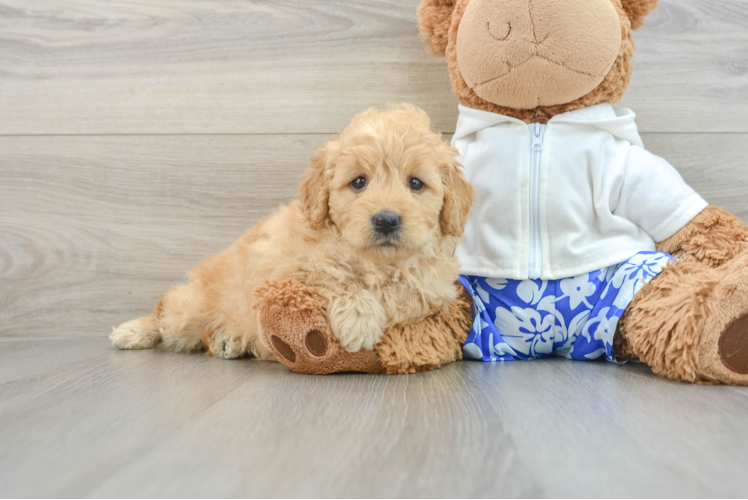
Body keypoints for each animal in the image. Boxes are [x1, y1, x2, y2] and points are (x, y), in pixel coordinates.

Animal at [109, 107, 474, 362]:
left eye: (416, 183)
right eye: (359, 182)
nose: (386, 220)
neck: (377, 261)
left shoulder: (431, 289)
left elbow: (403, 295)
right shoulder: (282, 269)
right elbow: (333, 276)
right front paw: (359, 321)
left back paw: (230, 340)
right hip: (189, 309)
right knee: (165, 310)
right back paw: (133, 331)